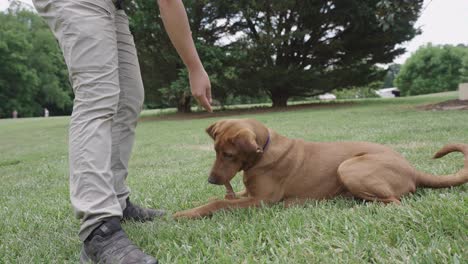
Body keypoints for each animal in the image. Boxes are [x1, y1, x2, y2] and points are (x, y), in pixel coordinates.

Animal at [174, 118, 468, 218]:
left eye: (229, 154)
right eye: (214, 151)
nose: (212, 180)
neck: (264, 150)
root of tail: (412, 168)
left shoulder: (262, 201)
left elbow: (218, 203)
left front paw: (185, 215)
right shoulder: (250, 194)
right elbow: (221, 199)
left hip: (349, 167)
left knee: (394, 202)